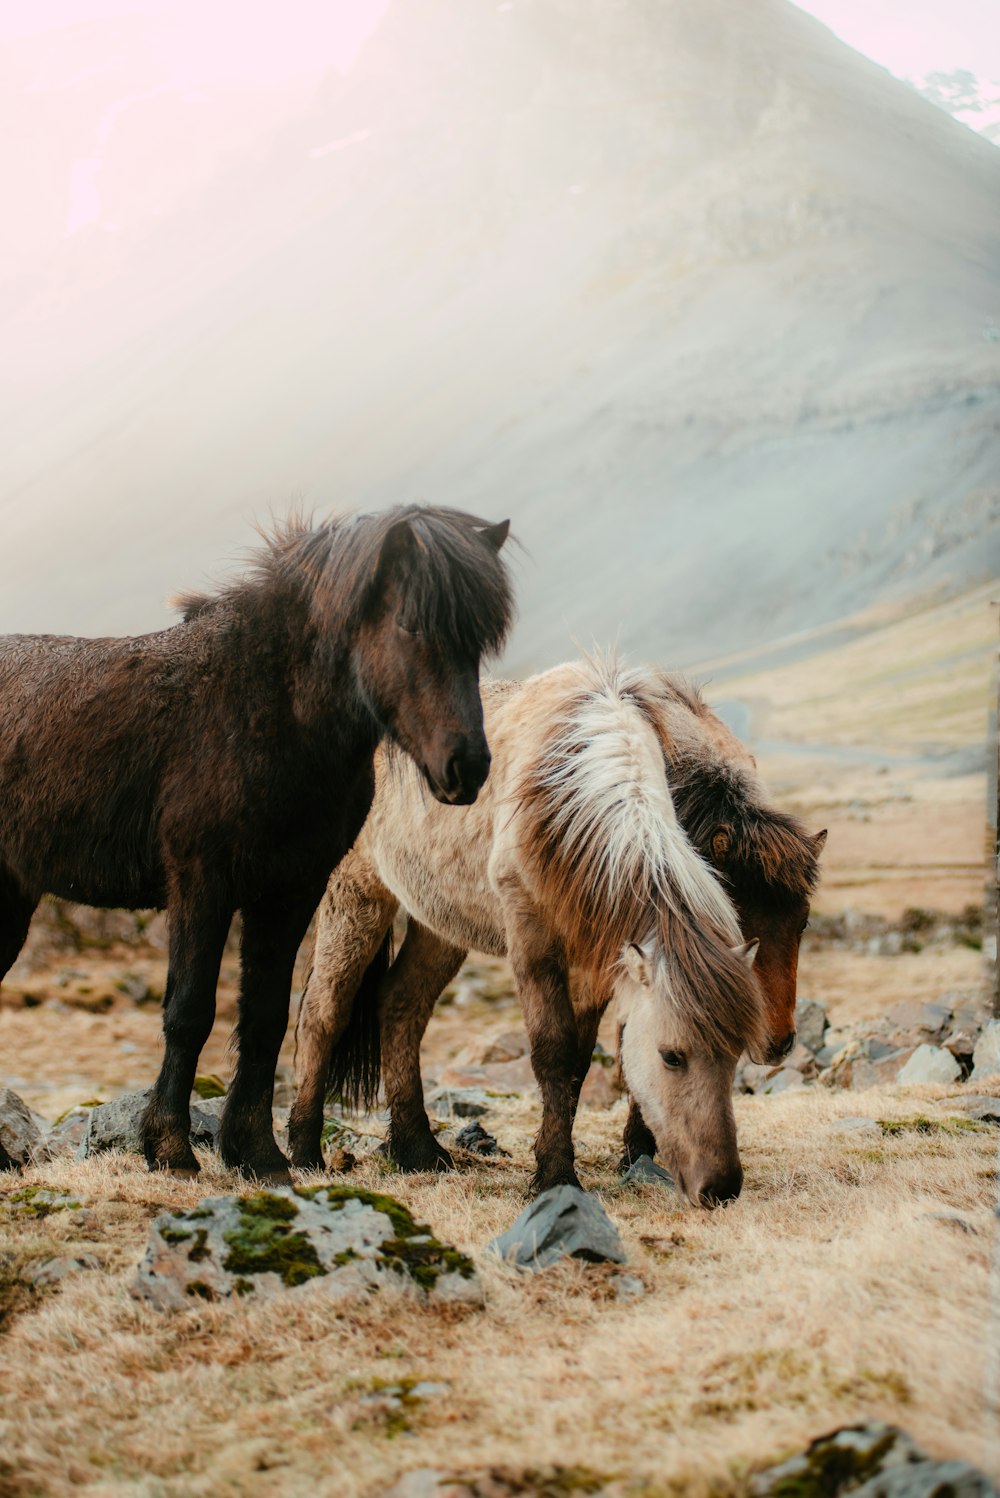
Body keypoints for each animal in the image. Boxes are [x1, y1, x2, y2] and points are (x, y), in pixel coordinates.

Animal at [0, 509, 511, 1174]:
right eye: (411, 624)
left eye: (480, 639)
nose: (466, 767)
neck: (261, 709)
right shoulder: (202, 885)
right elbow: (190, 1014)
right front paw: (171, 1149)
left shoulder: (290, 892)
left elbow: (265, 1018)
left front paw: (258, 1153)